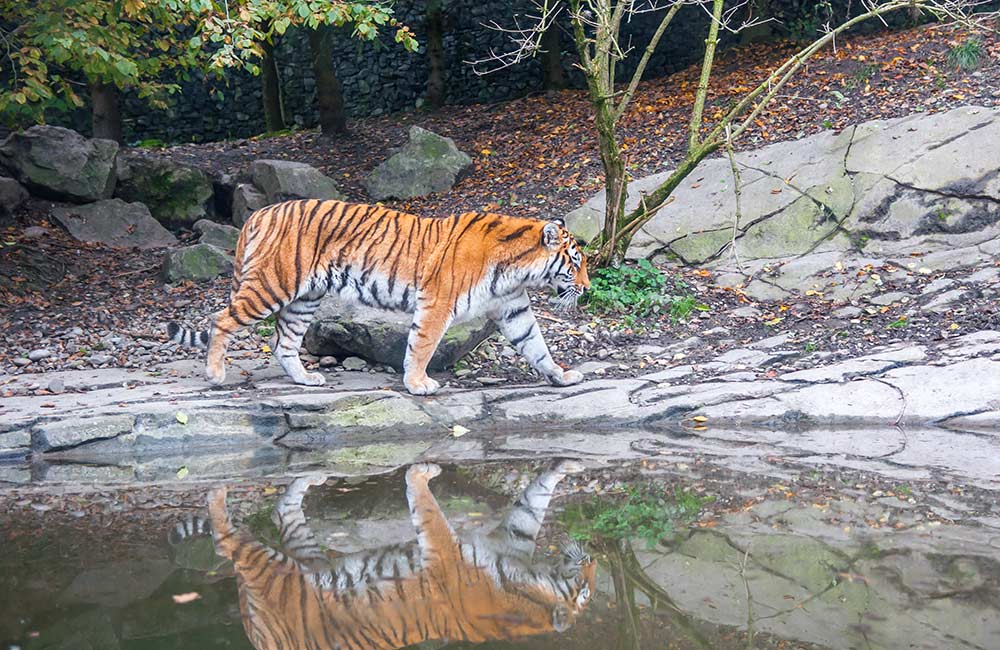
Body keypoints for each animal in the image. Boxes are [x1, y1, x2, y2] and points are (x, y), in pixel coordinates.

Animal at [163, 197, 584, 392]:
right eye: (575, 262)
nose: (585, 287)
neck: (517, 269)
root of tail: (258, 213)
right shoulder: (437, 303)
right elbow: (422, 346)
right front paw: (418, 384)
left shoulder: (512, 309)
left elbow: (536, 345)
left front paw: (562, 376)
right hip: (271, 285)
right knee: (221, 321)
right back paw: (215, 375)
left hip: (304, 299)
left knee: (283, 343)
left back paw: (306, 379)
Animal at [209, 458, 592, 644]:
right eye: (585, 591)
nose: (592, 559)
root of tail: (257, 638)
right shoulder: (451, 549)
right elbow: (428, 509)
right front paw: (424, 471)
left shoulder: (509, 537)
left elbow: (534, 500)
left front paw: (567, 466)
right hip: (270, 567)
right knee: (226, 541)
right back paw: (216, 491)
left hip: (302, 558)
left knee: (278, 513)